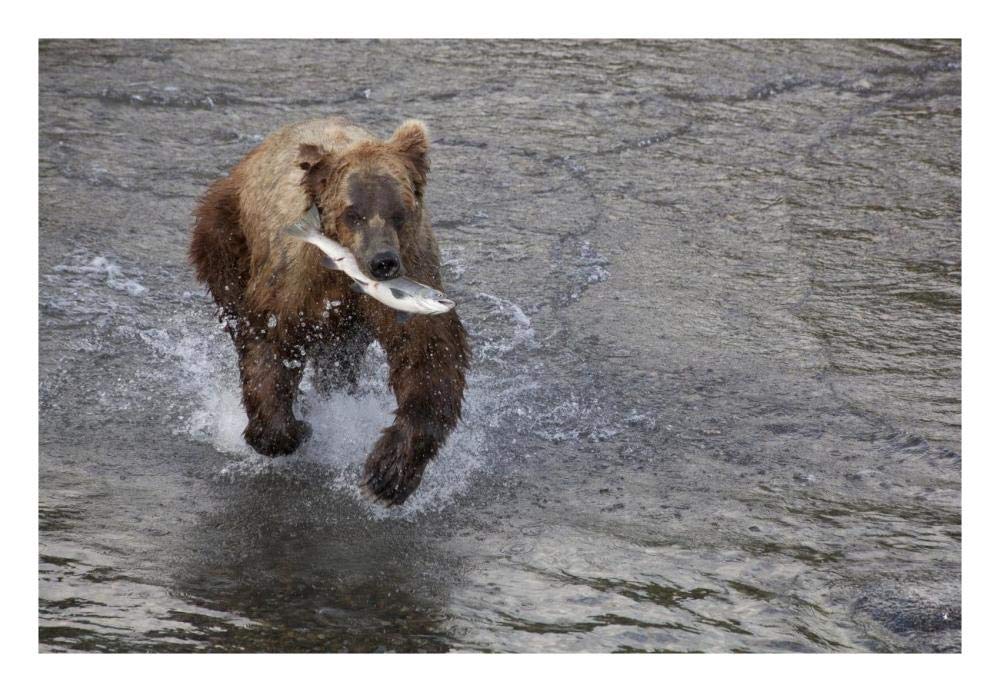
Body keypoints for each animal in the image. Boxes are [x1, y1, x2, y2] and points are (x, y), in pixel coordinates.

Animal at [189, 117, 469, 506]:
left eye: (399, 212)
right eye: (354, 213)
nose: (383, 261)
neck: (344, 275)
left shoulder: (414, 269)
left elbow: (427, 356)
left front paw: (388, 473)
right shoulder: (295, 280)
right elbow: (270, 341)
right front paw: (291, 429)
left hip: (348, 326)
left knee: (340, 357)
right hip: (227, 231)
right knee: (234, 300)